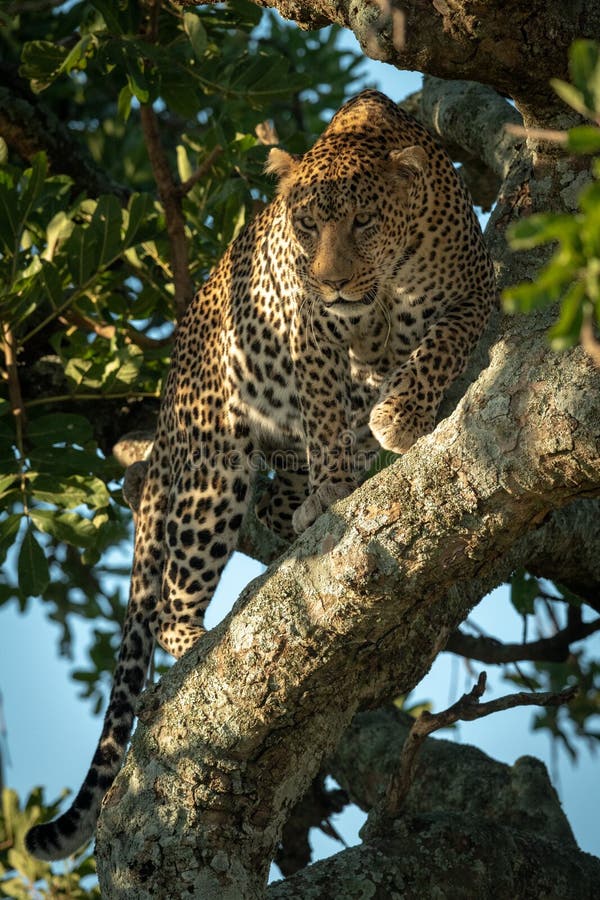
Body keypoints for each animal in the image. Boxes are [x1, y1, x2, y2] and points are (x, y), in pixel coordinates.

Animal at [25, 89, 496, 860]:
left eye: (363, 223)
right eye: (306, 227)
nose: (330, 281)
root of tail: (166, 408)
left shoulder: (472, 295)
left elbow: (438, 349)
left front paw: (400, 414)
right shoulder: (314, 334)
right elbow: (327, 411)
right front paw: (342, 478)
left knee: (276, 505)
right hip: (212, 475)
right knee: (171, 602)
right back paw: (201, 639)